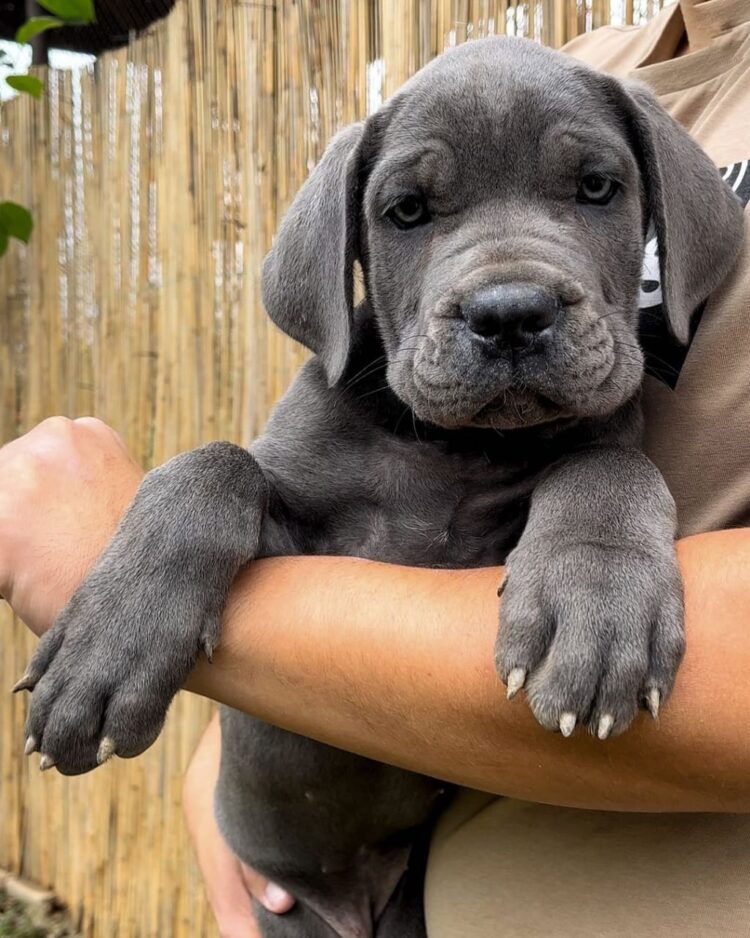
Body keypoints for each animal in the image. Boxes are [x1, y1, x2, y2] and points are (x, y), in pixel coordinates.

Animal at [16, 36, 748, 936]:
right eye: (406, 211)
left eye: (596, 188)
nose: (510, 313)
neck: (452, 449)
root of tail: (351, 898)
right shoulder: (301, 541)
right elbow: (213, 463)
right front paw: (104, 647)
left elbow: (603, 462)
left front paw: (599, 609)